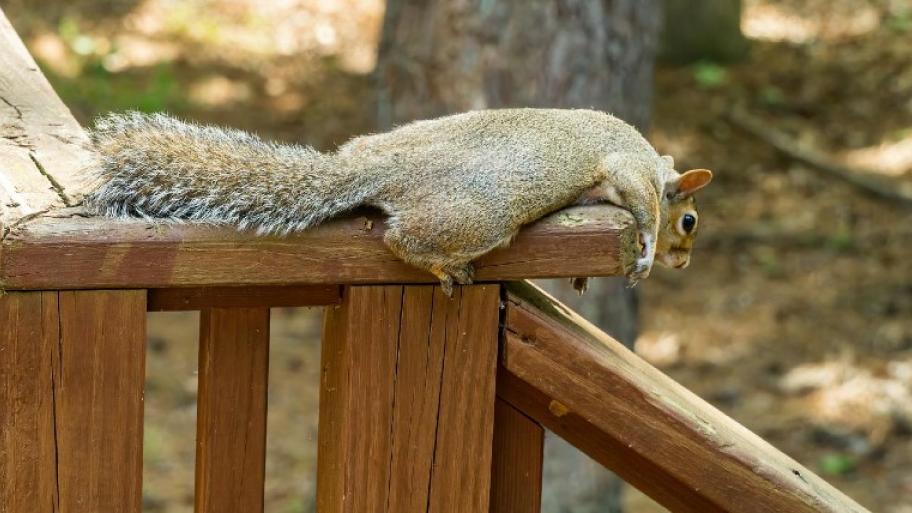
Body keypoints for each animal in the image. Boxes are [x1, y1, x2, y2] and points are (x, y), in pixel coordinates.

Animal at [86, 108, 712, 295]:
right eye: (689, 220)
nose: (685, 263)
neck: (655, 163)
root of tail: (375, 168)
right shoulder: (628, 166)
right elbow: (641, 208)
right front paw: (647, 251)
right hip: (482, 218)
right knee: (401, 239)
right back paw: (443, 267)